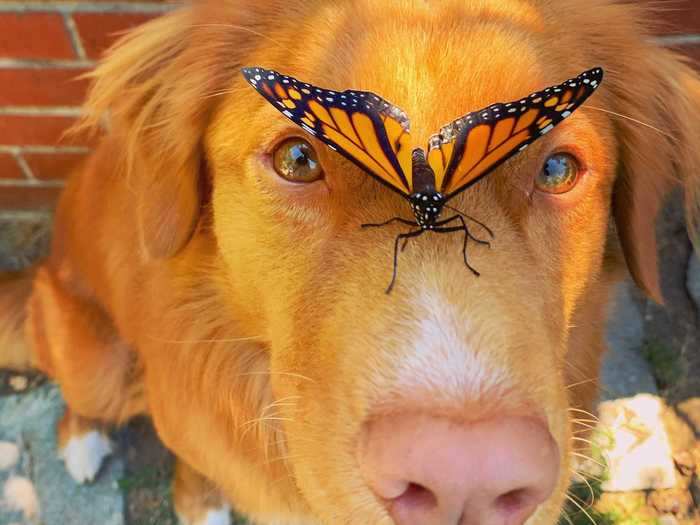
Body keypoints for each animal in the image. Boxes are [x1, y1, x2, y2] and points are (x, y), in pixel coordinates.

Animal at [1, 1, 700, 524]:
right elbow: (197, 463)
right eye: (297, 160)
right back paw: (83, 440)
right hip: (98, 360)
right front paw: (200, 503)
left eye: (557, 170)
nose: (464, 483)